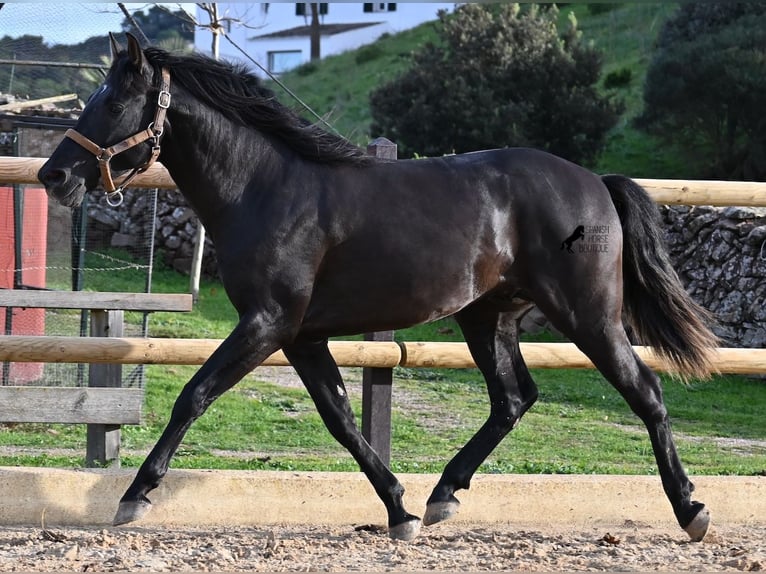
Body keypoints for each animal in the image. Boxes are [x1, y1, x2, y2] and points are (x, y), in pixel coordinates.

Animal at [36, 33, 720, 544]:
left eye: (112, 104)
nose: (54, 175)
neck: (264, 187)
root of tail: (596, 182)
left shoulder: (267, 322)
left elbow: (194, 395)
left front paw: (134, 498)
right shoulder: (302, 336)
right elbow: (341, 419)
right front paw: (400, 510)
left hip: (587, 315)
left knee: (646, 392)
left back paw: (691, 510)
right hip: (487, 317)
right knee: (513, 399)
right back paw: (443, 495)